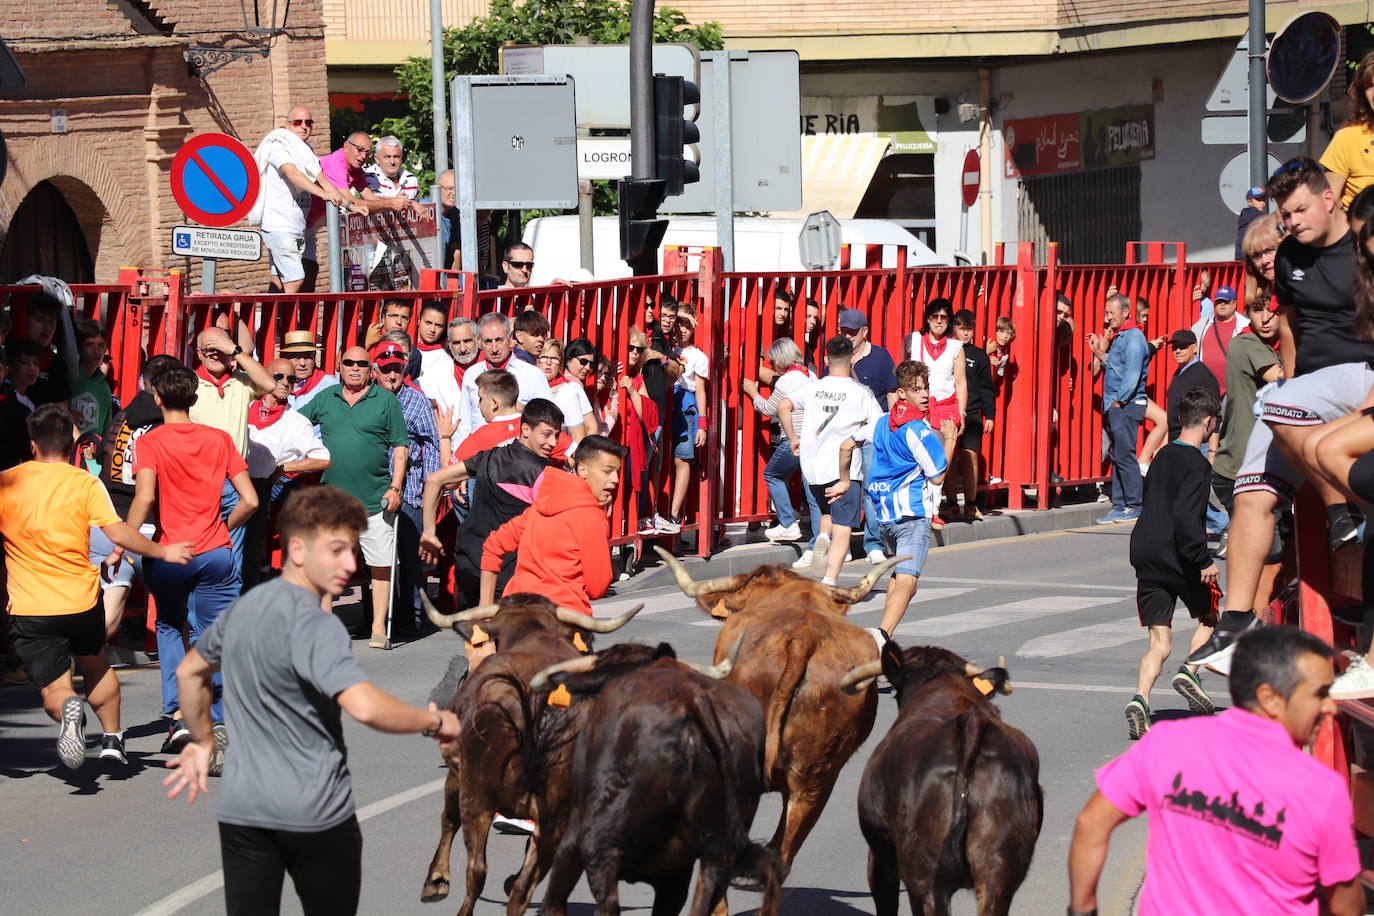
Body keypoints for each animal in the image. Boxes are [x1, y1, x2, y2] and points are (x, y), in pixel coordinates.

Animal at [417, 596, 637, 916]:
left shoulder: (455, 767)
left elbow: (448, 820)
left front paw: (435, 881)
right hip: (558, 817)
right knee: (525, 887)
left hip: (477, 797)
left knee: (477, 870)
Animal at [527, 637, 780, 916]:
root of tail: (693, 698)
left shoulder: (570, 840)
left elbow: (553, 902)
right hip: (713, 852)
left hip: (597, 842)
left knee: (603, 901)